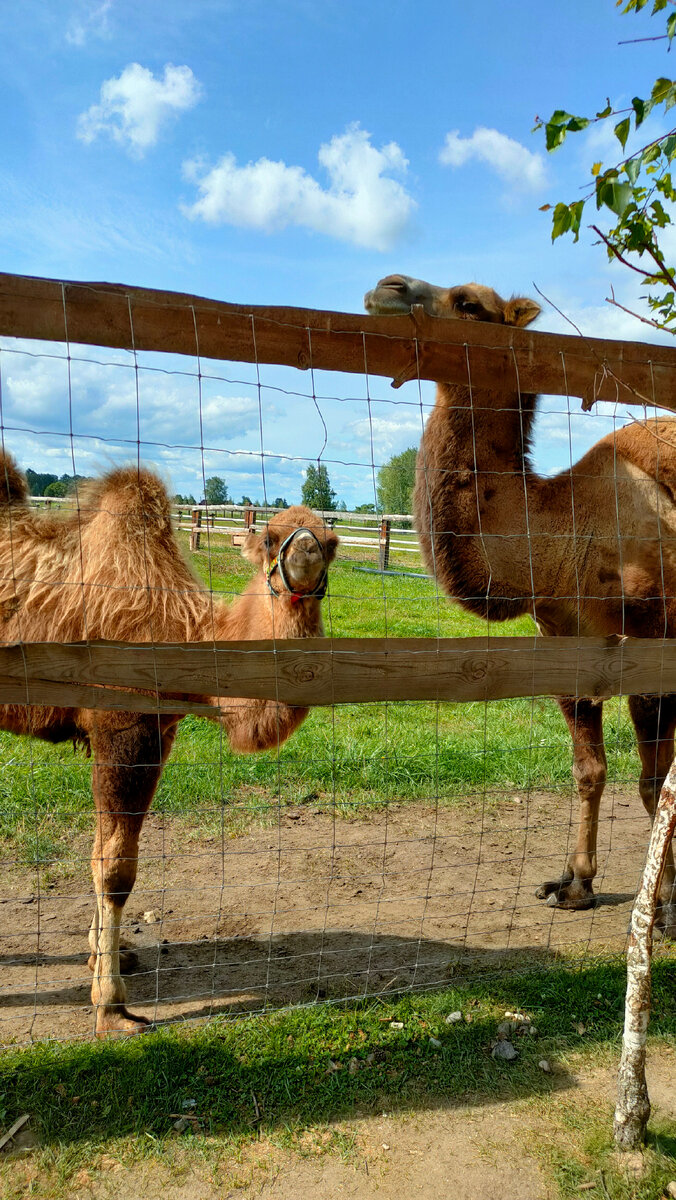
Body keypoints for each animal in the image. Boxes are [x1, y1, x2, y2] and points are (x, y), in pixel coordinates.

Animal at [0, 453, 338, 1036]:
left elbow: (100, 850)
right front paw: (112, 1007)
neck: (181, 629)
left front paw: (106, 955)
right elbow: (114, 869)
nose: (306, 550)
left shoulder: (158, 730)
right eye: (270, 537)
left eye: (331, 541)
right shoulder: (124, 724)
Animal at [367, 274, 676, 936]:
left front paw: (664, 908)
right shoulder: (567, 646)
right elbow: (590, 772)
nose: (387, 287)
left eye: (470, 304)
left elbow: (653, 784)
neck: (564, 530)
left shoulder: (654, 647)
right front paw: (575, 884)